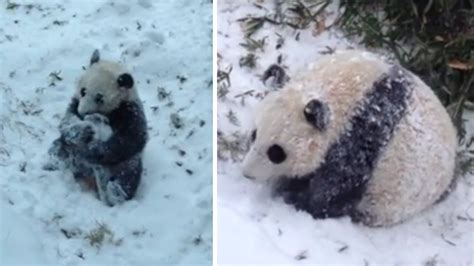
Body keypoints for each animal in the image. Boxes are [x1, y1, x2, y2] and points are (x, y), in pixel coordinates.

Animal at [48, 51, 147, 207]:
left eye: (99, 98)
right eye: (83, 91)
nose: (82, 113)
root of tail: (86, 173)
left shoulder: (129, 110)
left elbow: (131, 138)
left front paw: (91, 150)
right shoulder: (75, 102)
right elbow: (66, 122)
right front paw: (83, 130)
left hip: (122, 164)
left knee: (129, 172)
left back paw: (116, 193)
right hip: (68, 150)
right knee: (58, 147)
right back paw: (54, 164)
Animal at [243, 49, 458, 227]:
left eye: (276, 152)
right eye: (254, 135)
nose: (247, 174)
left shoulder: (363, 137)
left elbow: (335, 189)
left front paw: (296, 198)